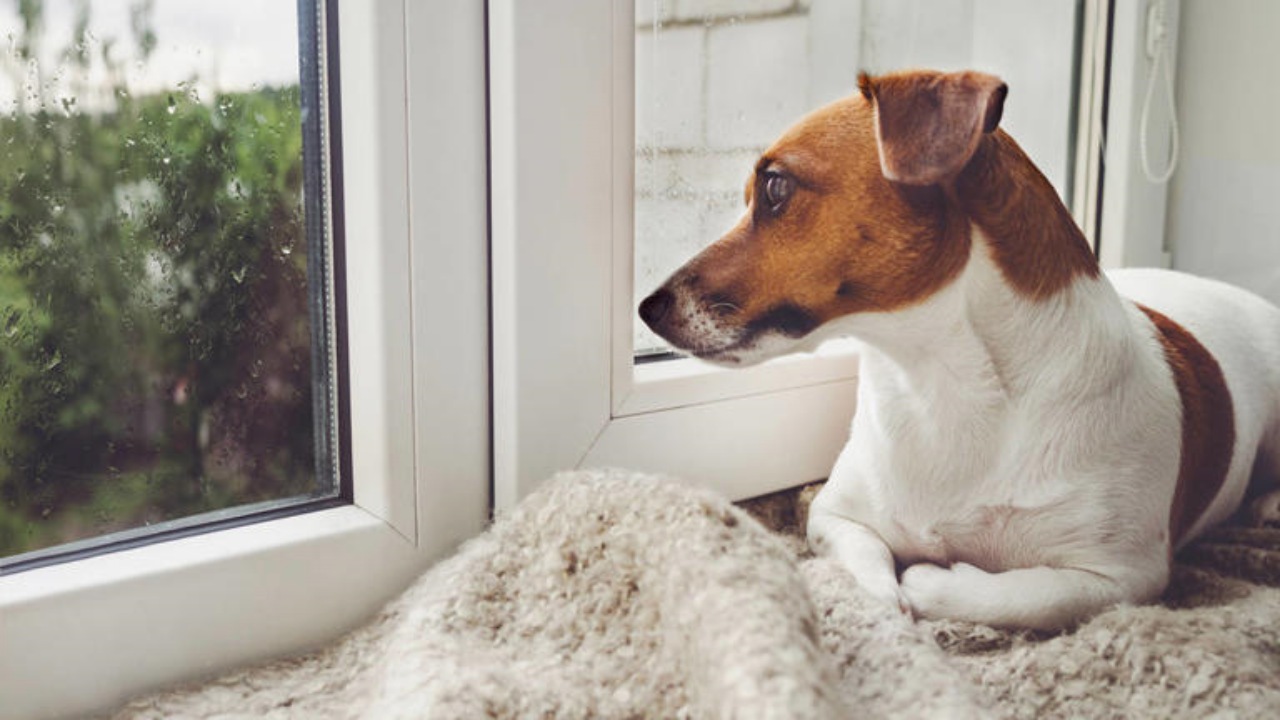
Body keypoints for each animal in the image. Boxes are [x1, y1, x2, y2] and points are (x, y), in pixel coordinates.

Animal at [640, 70, 1280, 625]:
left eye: (775, 188)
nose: (646, 309)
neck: (940, 382)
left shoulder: (1122, 577)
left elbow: (1021, 595)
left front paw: (932, 581)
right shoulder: (834, 514)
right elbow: (869, 572)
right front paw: (886, 600)